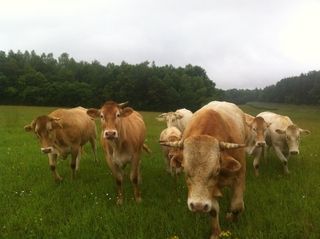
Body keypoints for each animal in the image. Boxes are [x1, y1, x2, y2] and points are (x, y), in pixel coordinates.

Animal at [161, 101, 246, 239]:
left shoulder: (239, 176)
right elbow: (213, 210)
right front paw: (216, 233)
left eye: (216, 170)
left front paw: (232, 219)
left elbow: (236, 206)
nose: (198, 206)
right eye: (185, 170)